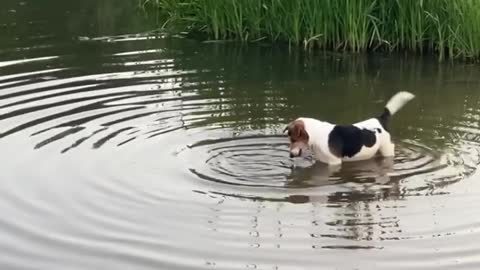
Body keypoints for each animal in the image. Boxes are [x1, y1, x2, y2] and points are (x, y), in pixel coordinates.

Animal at [284, 92, 414, 166]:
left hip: (387, 150)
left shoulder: (334, 163)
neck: (317, 135)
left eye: (294, 140)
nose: (290, 156)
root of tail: (380, 119)